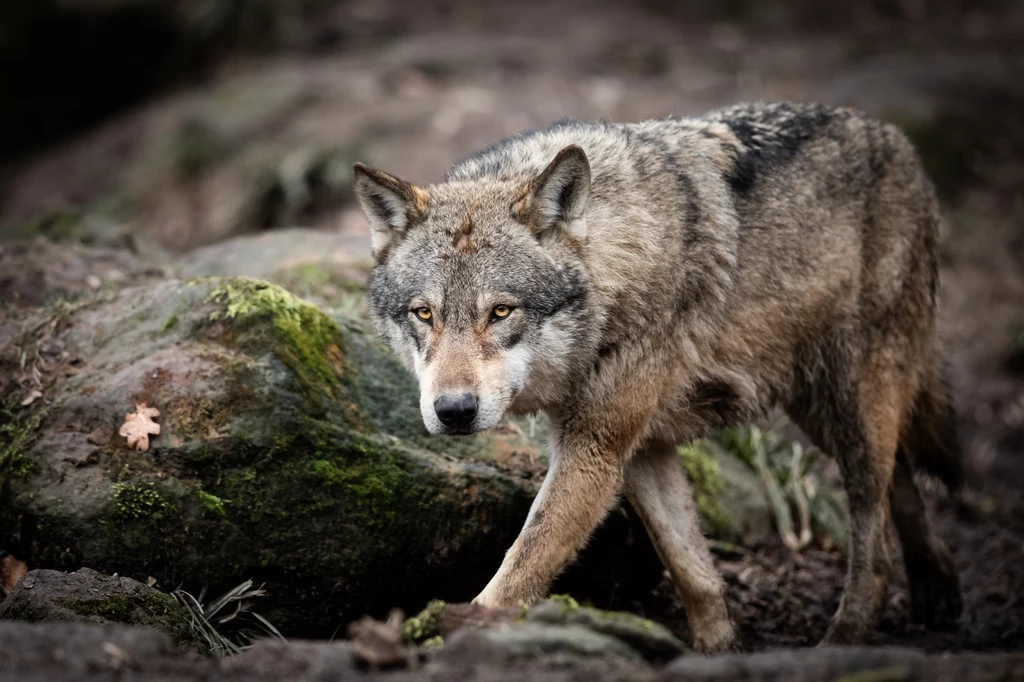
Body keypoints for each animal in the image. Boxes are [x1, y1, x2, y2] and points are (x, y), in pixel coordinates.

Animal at [350, 100, 958, 647]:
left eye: (500, 312)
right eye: (423, 314)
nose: (453, 412)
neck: (612, 272)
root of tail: (898, 139)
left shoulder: (595, 448)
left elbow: (520, 568)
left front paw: (448, 635)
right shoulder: (638, 447)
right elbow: (693, 570)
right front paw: (719, 650)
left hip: (851, 406)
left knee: (875, 532)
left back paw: (846, 638)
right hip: (820, 412)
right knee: (900, 480)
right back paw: (939, 591)